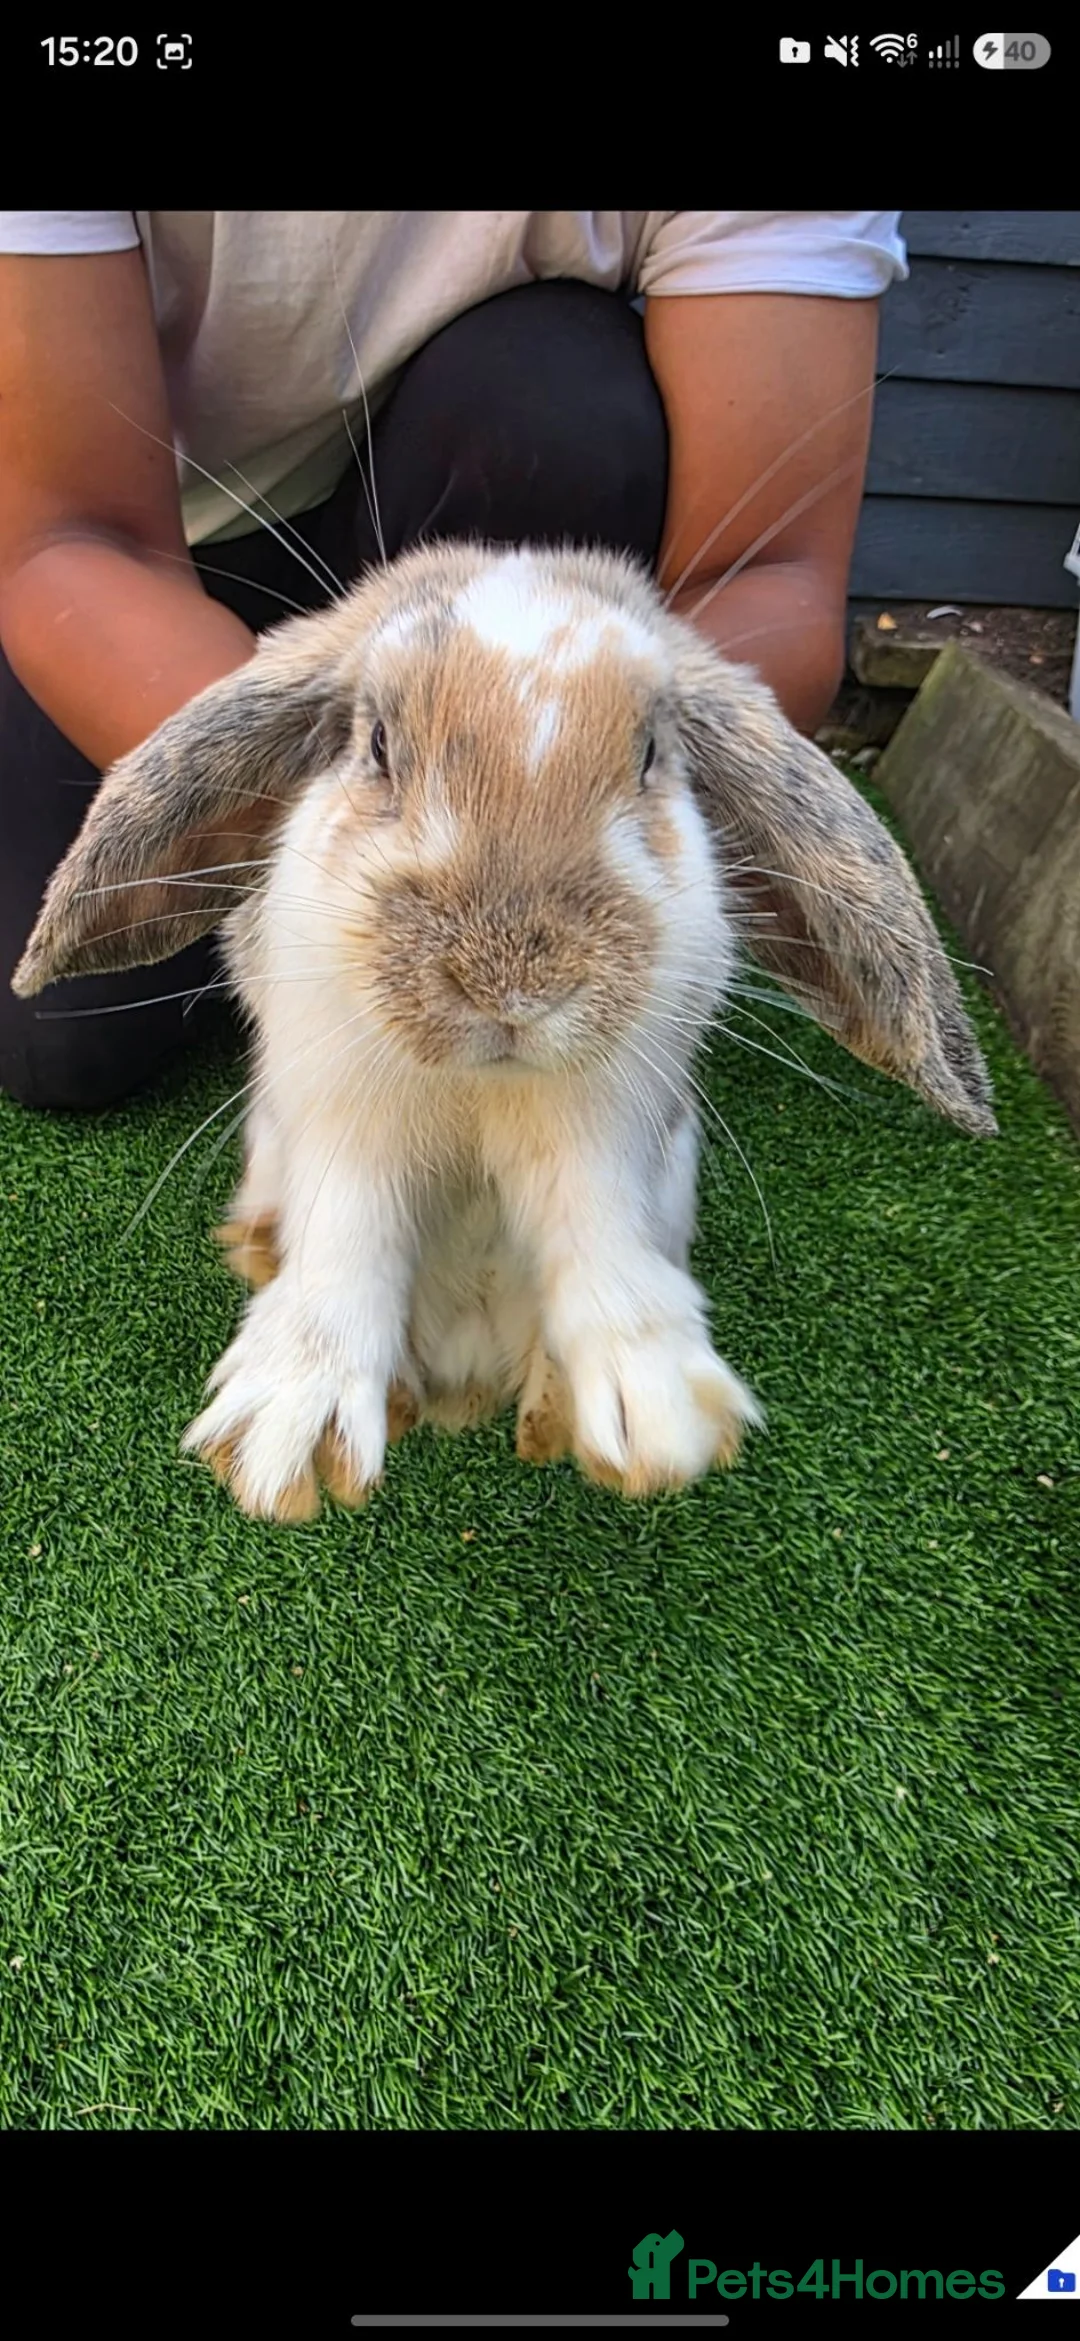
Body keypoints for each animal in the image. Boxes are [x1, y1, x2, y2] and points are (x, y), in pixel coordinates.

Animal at [13, 541, 997, 1522]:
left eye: (650, 754)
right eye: (378, 745)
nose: (513, 983)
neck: (482, 1086)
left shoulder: (606, 1124)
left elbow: (594, 1220)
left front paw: (653, 1413)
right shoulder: (341, 1111)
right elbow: (349, 1227)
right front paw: (291, 1426)